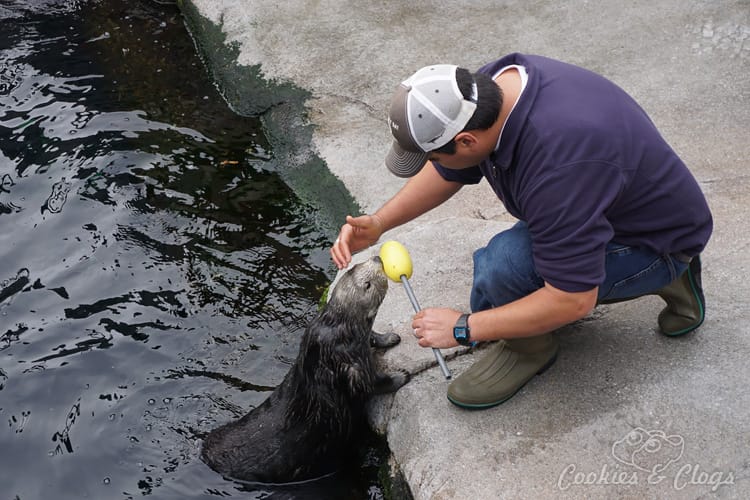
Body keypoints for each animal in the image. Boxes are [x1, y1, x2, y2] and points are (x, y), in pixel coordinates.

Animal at [201, 256, 409, 483]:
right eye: (367, 285)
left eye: (353, 268)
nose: (378, 258)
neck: (337, 327)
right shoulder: (349, 363)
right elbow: (370, 383)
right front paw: (402, 376)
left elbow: (372, 337)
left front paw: (390, 337)